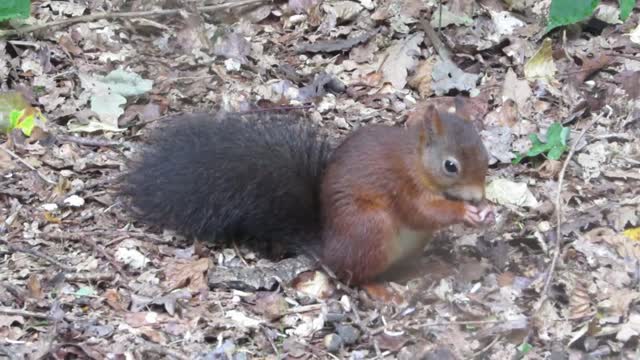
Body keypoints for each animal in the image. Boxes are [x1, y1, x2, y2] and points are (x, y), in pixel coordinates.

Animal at [124, 105, 496, 286]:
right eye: (451, 166)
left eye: (485, 155)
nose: (478, 196)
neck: (417, 161)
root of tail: (327, 248)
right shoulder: (401, 184)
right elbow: (422, 212)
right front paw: (465, 213)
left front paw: (487, 211)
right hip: (369, 229)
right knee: (353, 277)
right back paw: (378, 290)